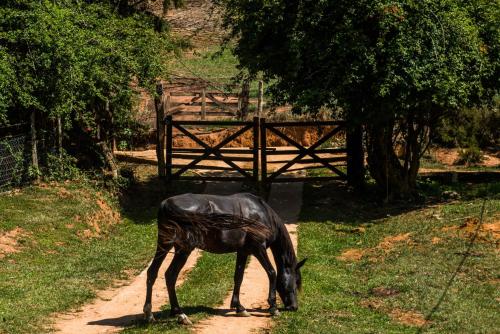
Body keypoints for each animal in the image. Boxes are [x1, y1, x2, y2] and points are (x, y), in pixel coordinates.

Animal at [141, 192, 304, 324]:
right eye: (295, 281)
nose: (294, 307)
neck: (261, 213)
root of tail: (165, 204)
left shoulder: (243, 251)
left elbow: (238, 277)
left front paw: (239, 307)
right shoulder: (259, 249)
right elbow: (272, 273)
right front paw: (273, 307)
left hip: (165, 245)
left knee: (152, 273)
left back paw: (150, 314)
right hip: (183, 250)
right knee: (170, 275)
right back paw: (180, 314)